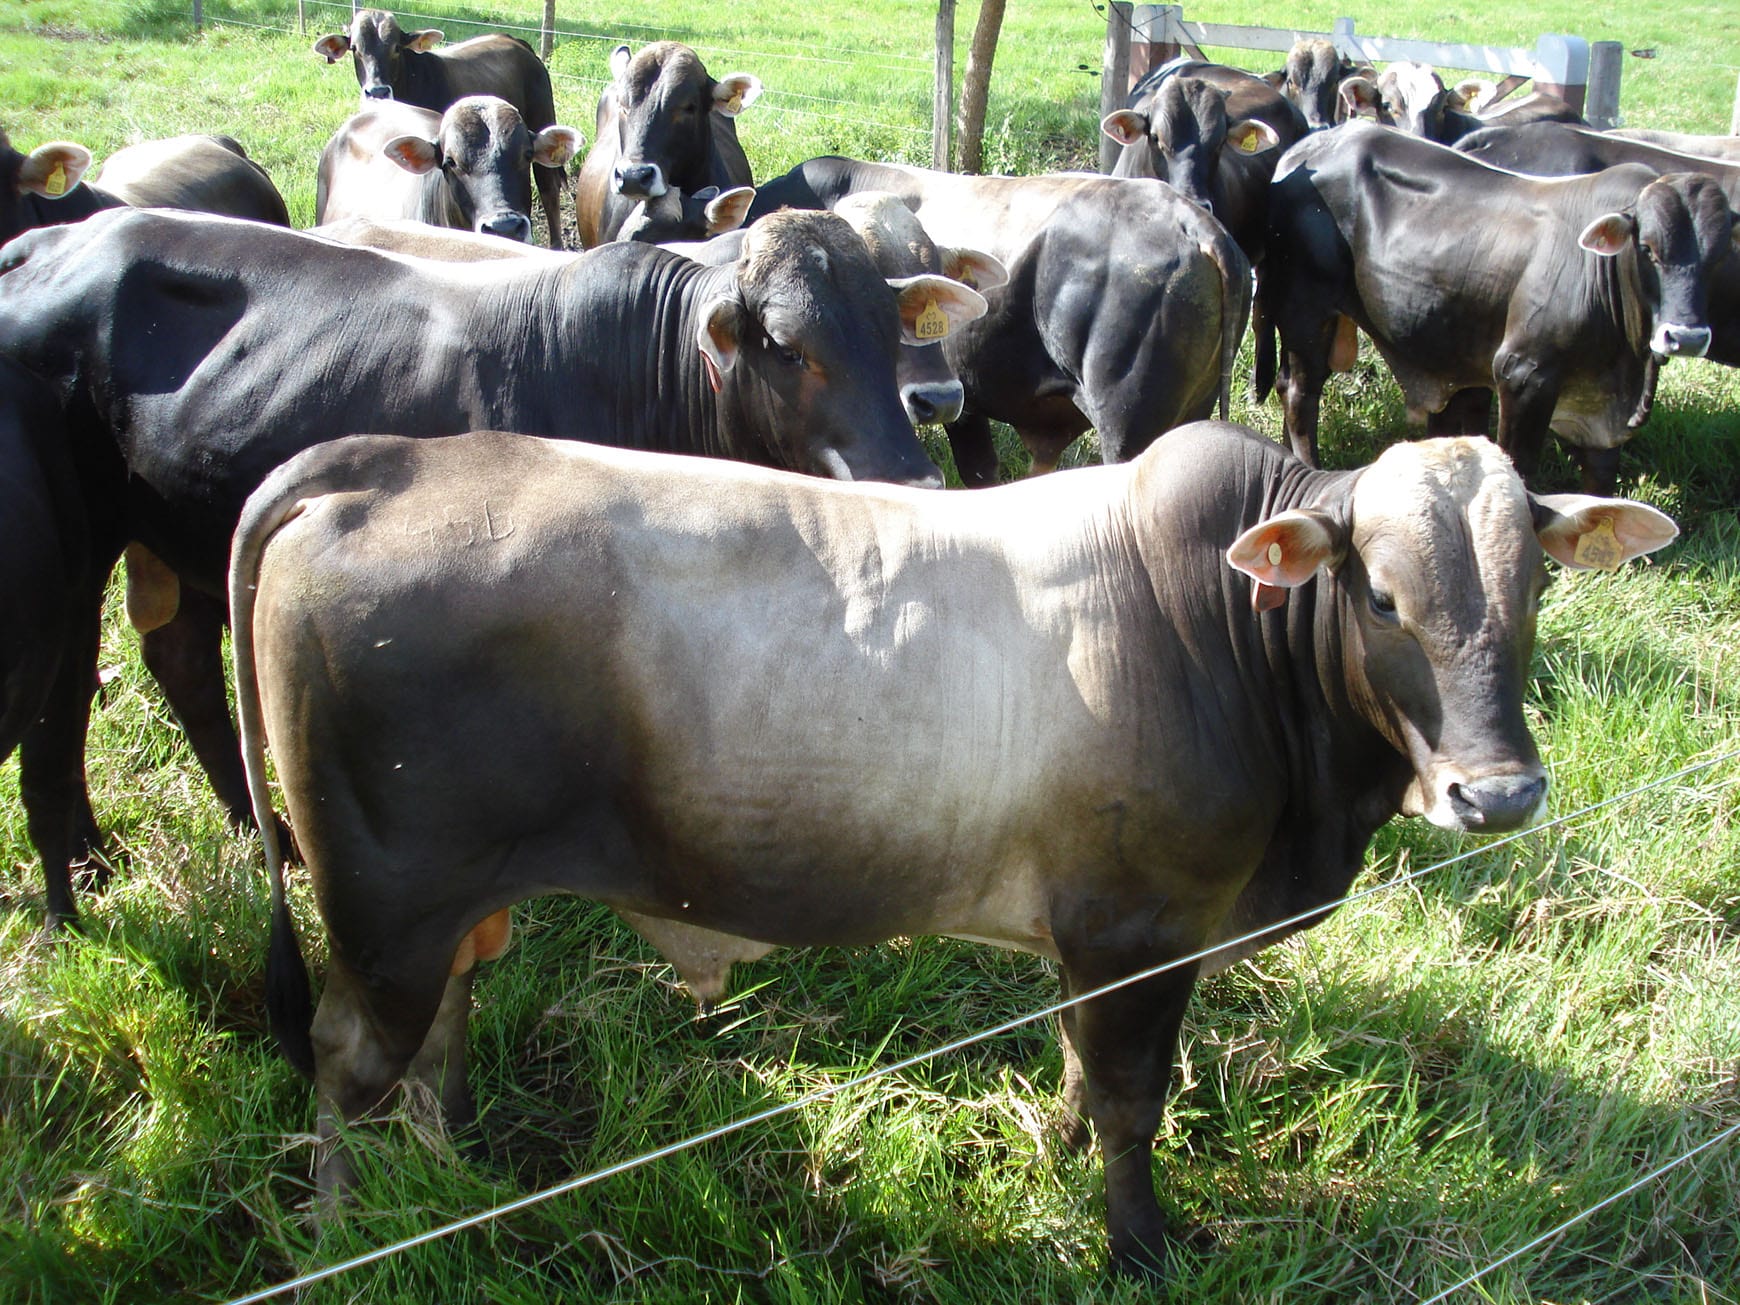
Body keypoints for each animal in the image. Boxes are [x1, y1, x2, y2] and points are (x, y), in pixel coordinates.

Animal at [0, 204, 959, 928]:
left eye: (891, 335)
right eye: (791, 348)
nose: (912, 479)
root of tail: (47, 239)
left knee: (183, 664)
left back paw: (243, 826)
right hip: (85, 562)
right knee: (65, 707)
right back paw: (85, 876)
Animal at [227, 421, 1677, 1273]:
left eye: (1536, 582)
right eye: (1379, 591)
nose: (1500, 794)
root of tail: (373, 460)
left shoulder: (1104, 937)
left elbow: (1080, 1073)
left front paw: (1052, 1154)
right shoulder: (1139, 932)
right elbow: (1132, 1099)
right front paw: (1139, 1247)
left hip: (439, 909)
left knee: (437, 1038)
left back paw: (448, 1181)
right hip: (385, 907)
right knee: (350, 1060)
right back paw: (342, 1237)